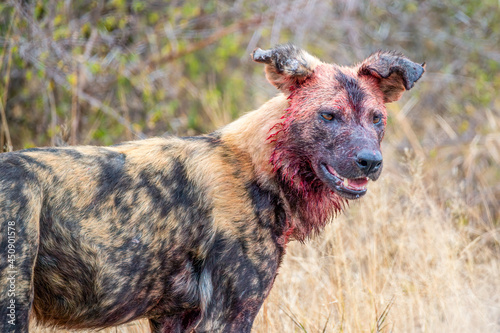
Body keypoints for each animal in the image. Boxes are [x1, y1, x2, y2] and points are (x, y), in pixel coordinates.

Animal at [0, 43, 424, 330]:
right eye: (328, 116)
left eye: (377, 118)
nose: (370, 161)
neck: (263, 169)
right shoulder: (227, 315)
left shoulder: (173, 315)